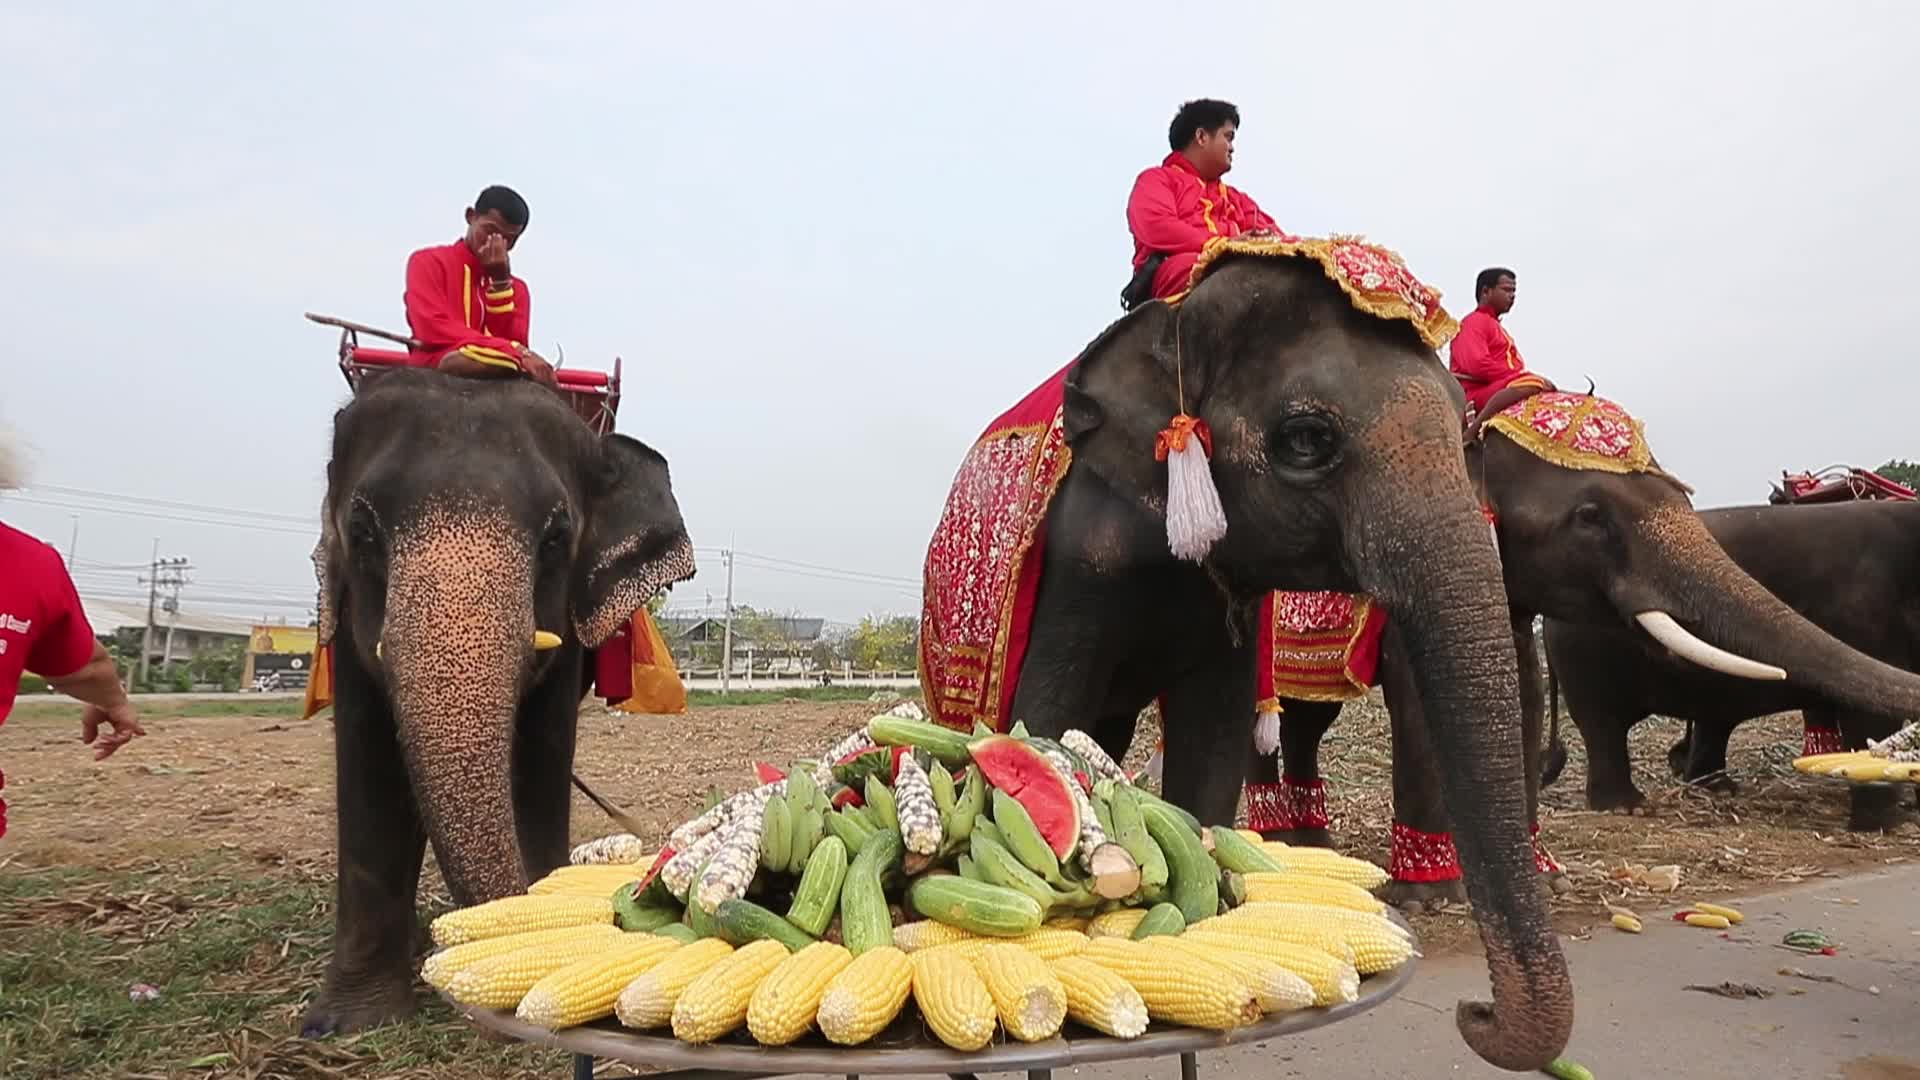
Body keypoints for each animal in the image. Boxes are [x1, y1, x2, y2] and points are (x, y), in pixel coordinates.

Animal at [976, 241, 1572, 1070]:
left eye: (1462, 435)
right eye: (1306, 440)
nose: (1473, 1010)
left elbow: (1217, 730)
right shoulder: (1079, 556)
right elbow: (1045, 710)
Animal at [1540, 498, 1920, 829]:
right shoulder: (1867, 622)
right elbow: (1870, 720)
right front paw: (1884, 825)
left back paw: (1719, 790)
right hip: (1584, 656)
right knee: (1602, 724)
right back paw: (1627, 806)